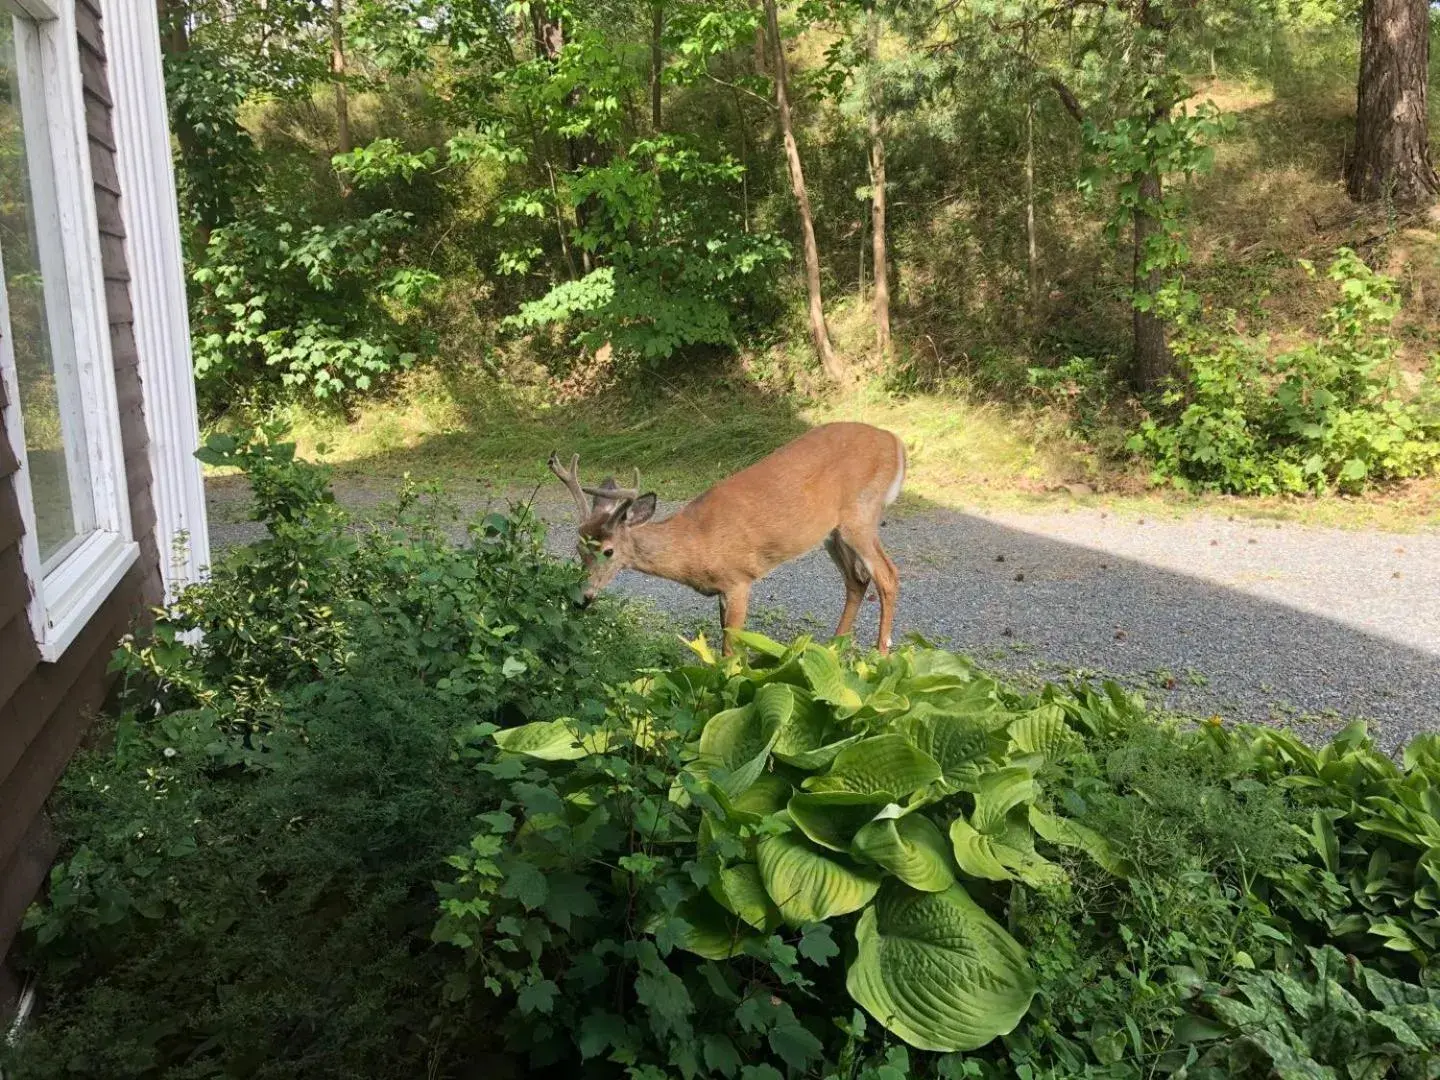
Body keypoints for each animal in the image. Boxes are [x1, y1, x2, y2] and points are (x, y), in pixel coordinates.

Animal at [544, 423, 904, 656]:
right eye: (578, 547)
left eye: (608, 551)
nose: (581, 598)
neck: (695, 544)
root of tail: (896, 443)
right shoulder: (720, 590)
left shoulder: (739, 579)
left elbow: (731, 648)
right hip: (833, 532)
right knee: (857, 580)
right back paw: (830, 648)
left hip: (861, 514)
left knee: (887, 575)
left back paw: (880, 655)